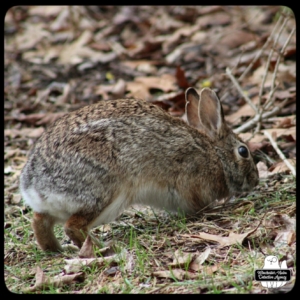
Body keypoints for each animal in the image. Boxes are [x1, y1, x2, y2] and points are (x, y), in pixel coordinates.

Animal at [19, 86, 258, 251]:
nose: (256, 179)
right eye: (243, 151)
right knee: (73, 226)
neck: (215, 154)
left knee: (40, 221)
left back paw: (56, 249)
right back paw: (101, 247)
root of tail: (34, 183)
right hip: (105, 194)